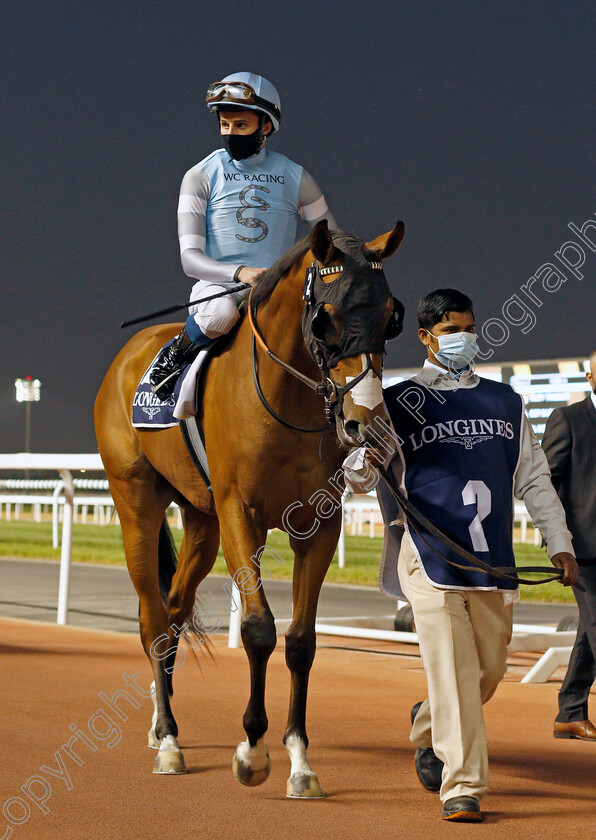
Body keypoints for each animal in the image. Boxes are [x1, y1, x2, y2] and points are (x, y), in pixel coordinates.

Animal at [95, 220, 406, 796]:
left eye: (390, 316)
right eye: (326, 317)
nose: (365, 421)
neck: (288, 400)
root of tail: (128, 354)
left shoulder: (319, 524)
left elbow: (302, 640)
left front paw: (300, 761)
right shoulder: (240, 511)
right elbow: (259, 628)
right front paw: (253, 751)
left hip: (202, 521)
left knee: (174, 610)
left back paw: (161, 722)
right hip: (136, 503)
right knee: (153, 620)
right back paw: (168, 739)